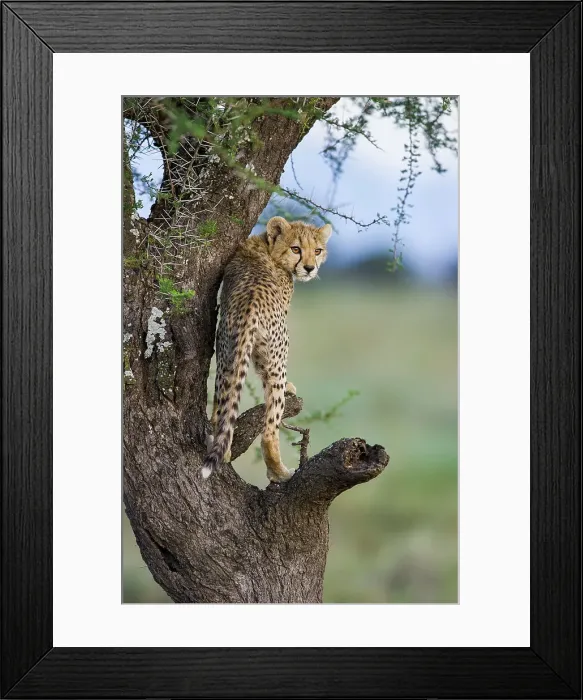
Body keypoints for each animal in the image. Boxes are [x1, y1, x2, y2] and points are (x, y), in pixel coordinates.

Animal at [202, 216, 332, 482]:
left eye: (317, 250)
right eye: (296, 249)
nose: (310, 268)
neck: (267, 245)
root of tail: (250, 304)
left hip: (226, 356)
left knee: (221, 409)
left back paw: (224, 450)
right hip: (277, 359)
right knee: (269, 428)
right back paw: (280, 473)